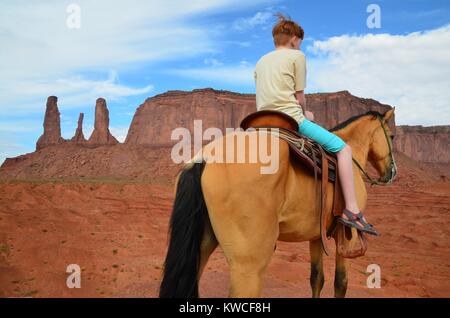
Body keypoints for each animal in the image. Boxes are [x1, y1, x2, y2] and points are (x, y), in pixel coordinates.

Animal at [160, 108, 396, 296]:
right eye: (392, 136)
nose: (391, 173)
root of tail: (206, 157)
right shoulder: (344, 236)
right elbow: (341, 282)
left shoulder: (315, 235)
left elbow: (317, 278)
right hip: (248, 265)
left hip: (202, 247)